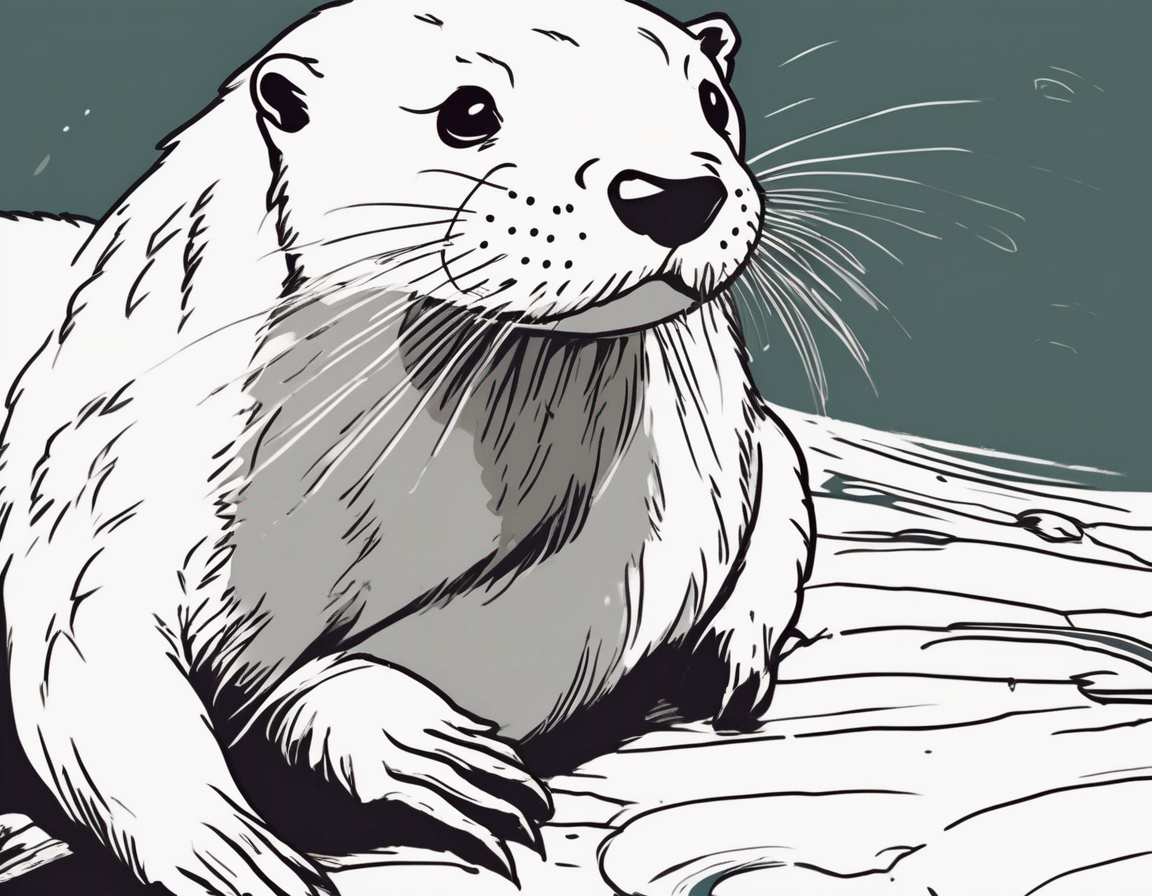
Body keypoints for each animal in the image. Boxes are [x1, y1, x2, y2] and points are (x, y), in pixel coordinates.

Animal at [0, 2, 815, 894]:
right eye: (468, 112)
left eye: (709, 99)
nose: (671, 192)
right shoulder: (101, 473)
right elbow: (83, 667)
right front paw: (234, 851)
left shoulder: (677, 490)